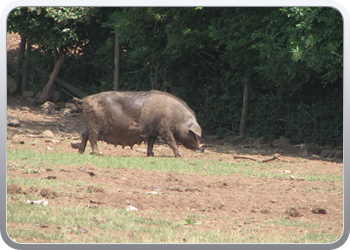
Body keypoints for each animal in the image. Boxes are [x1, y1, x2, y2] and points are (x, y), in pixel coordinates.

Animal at [73, 90, 204, 156]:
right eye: (194, 134)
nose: (201, 147)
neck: (178, 119)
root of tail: (85, 99)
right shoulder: (164, 128)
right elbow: (171, 141)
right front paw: (180, 155)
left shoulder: (153, 131)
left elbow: (151, 142)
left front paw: (151, 155)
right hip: (94, 124)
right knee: (93, 138)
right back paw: (98, 154)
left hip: (90, 124)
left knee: (84, 134)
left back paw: (80, 152)